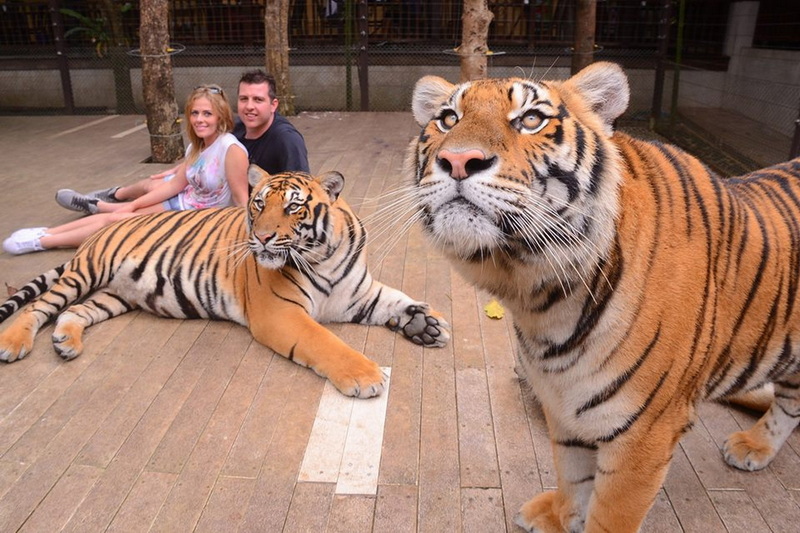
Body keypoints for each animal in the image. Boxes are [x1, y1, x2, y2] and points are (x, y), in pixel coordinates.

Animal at [0, 168, 450, 396]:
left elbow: (397, 299)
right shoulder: (280, 313)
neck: (323, 256)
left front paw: (426, 324)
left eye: (293, 207)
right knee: (40, 306)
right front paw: (365, 376)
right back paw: (14, 343)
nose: (263, 238)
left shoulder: (358, 294)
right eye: (258, 204)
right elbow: (327, 342)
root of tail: (101, 230)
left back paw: (66, 342)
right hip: (87, 272)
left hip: (115, 295)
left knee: (75, 311)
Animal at [410, 60, 800, 528]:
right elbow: (574, 477)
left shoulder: (645, 432)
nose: (457, 160)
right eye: (448, 119)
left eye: (531, 119)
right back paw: (756, 447)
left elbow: (610, 514)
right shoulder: (563, 402)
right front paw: (561, 517)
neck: (540, 296)